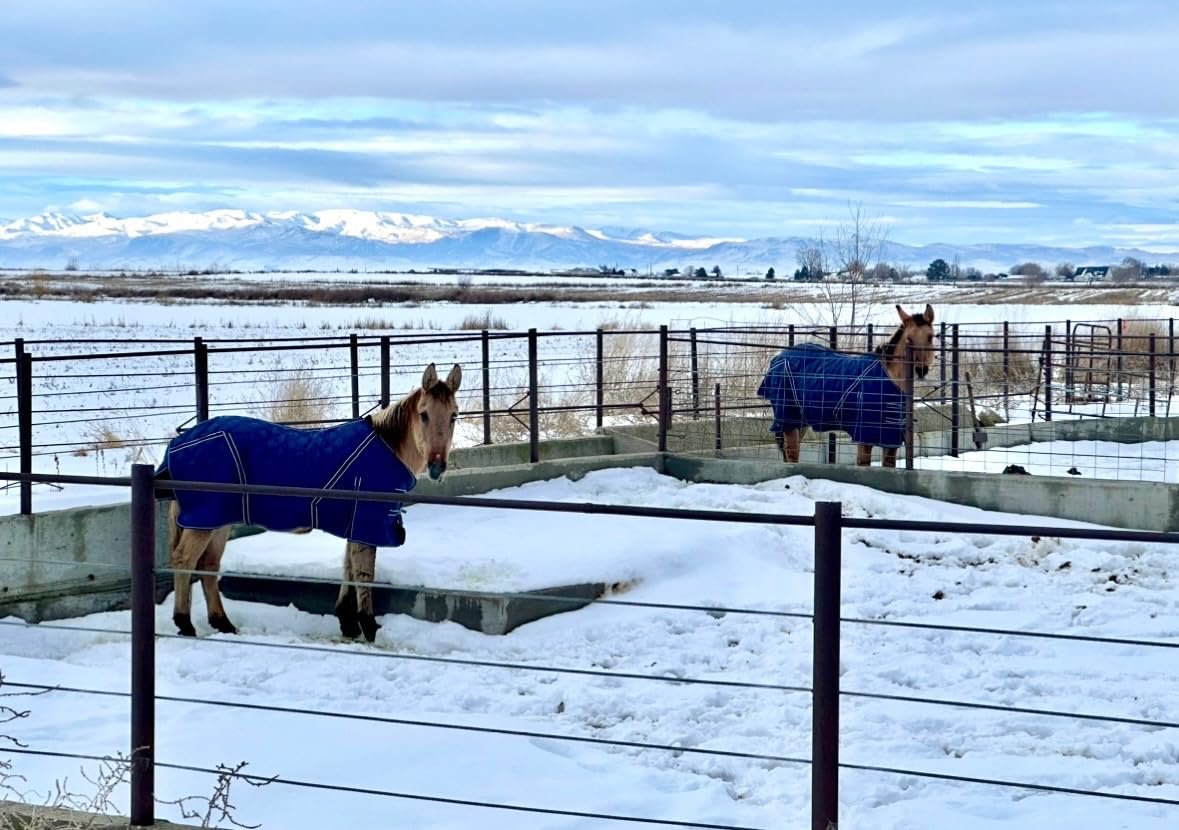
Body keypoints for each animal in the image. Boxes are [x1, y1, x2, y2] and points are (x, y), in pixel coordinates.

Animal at [157, 362, 462, 643]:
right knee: (184, 560)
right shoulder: (368, 521)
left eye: (453, 416)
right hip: (204, 518)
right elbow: (364, 571)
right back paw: (185, 624)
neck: (388, 446)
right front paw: (368, 626)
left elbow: (348, 566)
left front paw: (348, 623)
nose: (437, 466)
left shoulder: (355, 523)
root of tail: (177, 445)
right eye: (424, 414)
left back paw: (223, 623)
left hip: (219, 519)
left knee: (208, 566)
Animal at [757, 304, 936, 467]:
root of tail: (778, 358)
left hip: (800, 422)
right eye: (909, 339)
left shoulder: (890, 437)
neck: (888, 377)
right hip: (788, 419)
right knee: (792, 456)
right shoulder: (865, 434)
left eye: (930, 337)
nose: (921, 370)